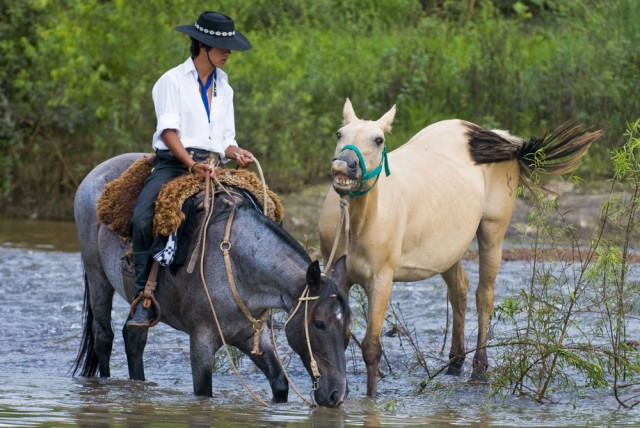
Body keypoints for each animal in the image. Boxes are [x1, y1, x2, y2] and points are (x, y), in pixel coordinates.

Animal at [74, 152, 350, 406]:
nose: (336, 395)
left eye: (347, 323)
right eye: (319, 324)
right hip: (97, 274)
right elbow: (203, 392)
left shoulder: (251, 336)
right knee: (103, 337)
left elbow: (280, 384)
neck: (237, 268)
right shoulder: (201, 341)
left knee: (134, 337)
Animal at [320, 98, 600, 396]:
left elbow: (372, 347)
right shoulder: (341, 278)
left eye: (378, 139)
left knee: (483, 296)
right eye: (340, 134)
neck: (358, 223)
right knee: (459, 292)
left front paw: (370, 399)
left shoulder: (381, 282)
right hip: (449, 250)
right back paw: (455, 362)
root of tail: (498, 138)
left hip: (492, 233)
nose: (344, 165)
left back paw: (479, 369)